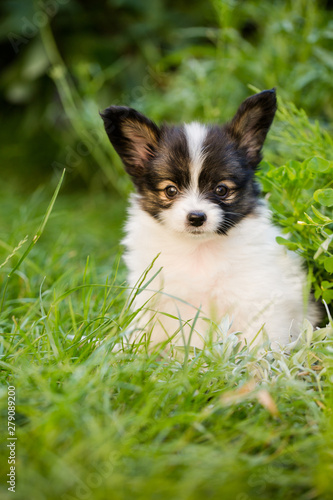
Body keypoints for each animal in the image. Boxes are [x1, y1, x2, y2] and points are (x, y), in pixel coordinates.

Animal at [100, 90, 320, 348]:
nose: (196, 217)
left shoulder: (257, 295)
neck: (199, 250)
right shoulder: (162, 299)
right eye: (170, 190)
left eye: (221, 190)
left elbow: (260, 338)